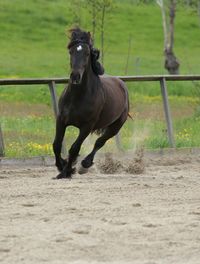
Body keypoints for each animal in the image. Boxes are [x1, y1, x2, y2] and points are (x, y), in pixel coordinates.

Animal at [52, 27, 129, 178]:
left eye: (87, 53)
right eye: (71, 51)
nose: (75, 76)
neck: (78, 97)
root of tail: (121, 84)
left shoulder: (87, 126)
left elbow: (74, 148)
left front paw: (66, 172)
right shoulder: (61, 120)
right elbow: (57, 144)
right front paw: (61, 166)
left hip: (116, 126)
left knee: (100, 142)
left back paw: (85, 165)